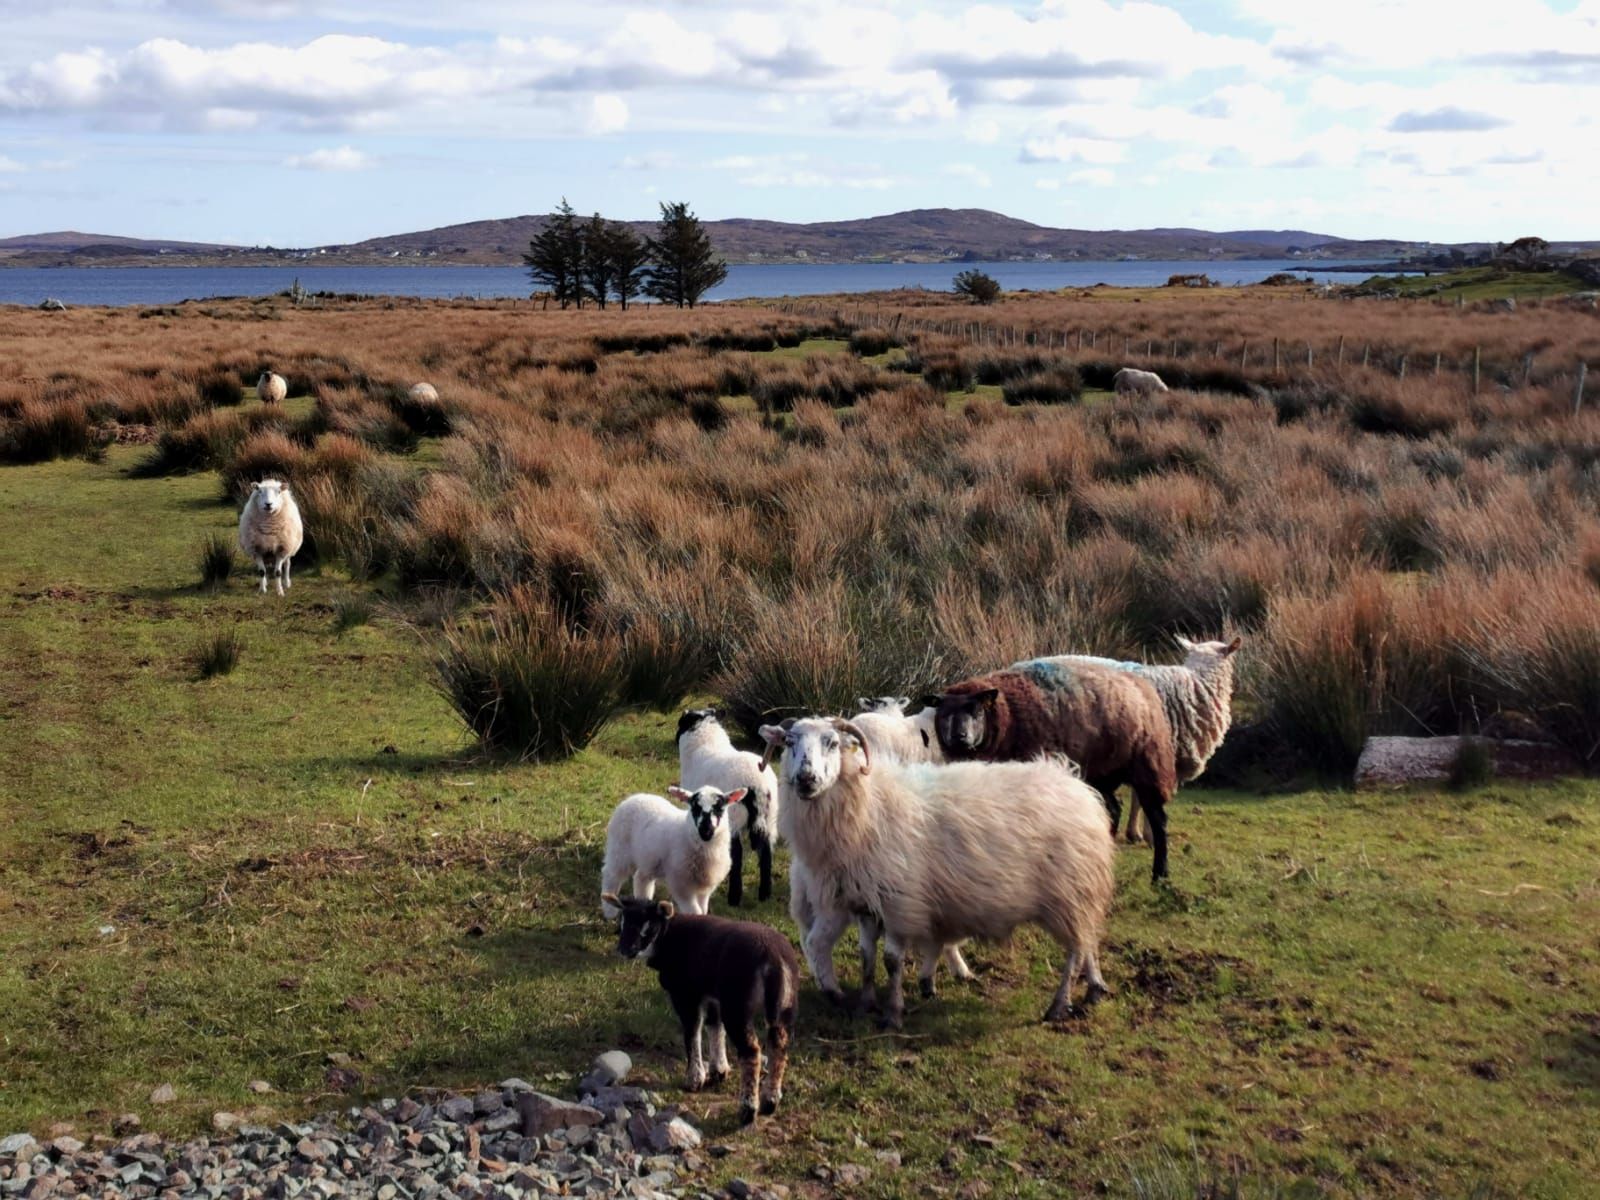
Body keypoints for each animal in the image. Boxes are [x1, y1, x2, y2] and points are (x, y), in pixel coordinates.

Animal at [600, 785, 746, 919]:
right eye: (694, 807)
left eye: (720, 807)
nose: (706, 830)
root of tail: (633, 797)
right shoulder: (681, 884)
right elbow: (695, 912)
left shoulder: (705, 889)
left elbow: (703, 911)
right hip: (620, 850)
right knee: (611, 875)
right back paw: (609, 910)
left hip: (649, 858)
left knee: (641, 878)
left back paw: (643, 901)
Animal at [605, 893, 798, 1124]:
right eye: (622, 923)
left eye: (647, 928)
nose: (623, 951)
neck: (668, 938)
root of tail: (773, 959)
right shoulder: (712, 995)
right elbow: (715, 1028)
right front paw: (719, 1070)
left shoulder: (686, 994)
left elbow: (692, 1032)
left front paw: (695, 1079)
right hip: (783, 1004)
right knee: (779, 1045)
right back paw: (770, 1101)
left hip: (738, 1004)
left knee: (751, 1052)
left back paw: (748, 1109)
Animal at [677, 710, 780, 907]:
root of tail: (756, 784)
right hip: (770, 818)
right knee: (766, 853)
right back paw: (764, 894)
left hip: (734, 817)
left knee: (737, 854)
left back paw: (734, 897)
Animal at [761, 716, 1115, 1028]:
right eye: (789, 742)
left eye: (832, 743)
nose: (806, 779)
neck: (868, 805)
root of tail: (1075, 784)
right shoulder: (864, 902)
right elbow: (866, 957)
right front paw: (866, 1004)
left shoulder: (900, 903)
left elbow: (892, 962)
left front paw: (893, 1013)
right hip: (1080, 894)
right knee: (1088, 940)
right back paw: (1094, 989)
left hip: (1070, 893)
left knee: (1075, 950)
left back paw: (1058, 1005)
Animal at [929, 661, 1179, 882]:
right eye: (944, 713)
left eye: (978, 712)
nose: (959, 736)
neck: (1009, 715)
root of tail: (1144, 688)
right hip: (1101, 774)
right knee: (1114, 809)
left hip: (1148, 768)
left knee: (1158, 820)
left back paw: (1160, 874)